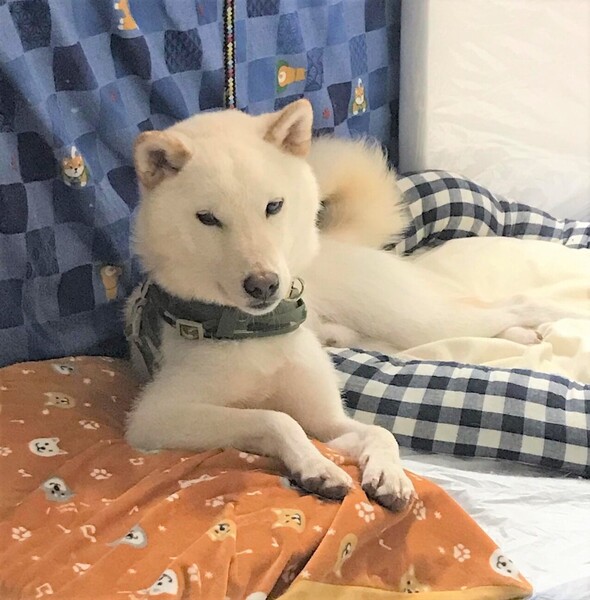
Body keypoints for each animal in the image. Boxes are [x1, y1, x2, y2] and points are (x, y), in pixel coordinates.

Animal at [125, 99, 416, 510]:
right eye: (207, 218)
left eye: (274, 206)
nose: (263, 285)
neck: (256, 334)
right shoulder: (157, 416)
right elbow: (276, 417)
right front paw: (318, 467)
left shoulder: (326, 420)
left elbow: (380, 431)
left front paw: (389, 473)